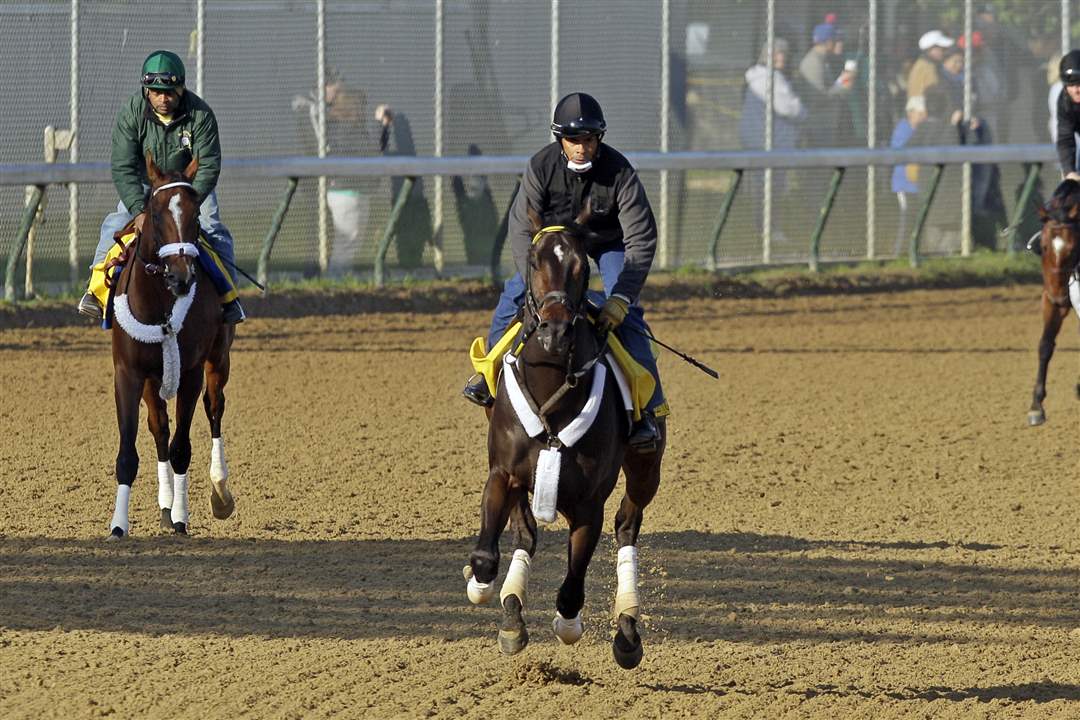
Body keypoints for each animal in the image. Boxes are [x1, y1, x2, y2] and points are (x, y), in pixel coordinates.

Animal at [107, 152, 236, 539]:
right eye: (156, 212)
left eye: (195, 215)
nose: (181, 276)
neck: (158, 303)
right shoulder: (129, 373)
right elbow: (130, 452)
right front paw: (119, 526)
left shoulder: (191, 370)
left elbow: (182, 447)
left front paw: (181, 518)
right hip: (154, 378)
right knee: (159, 427)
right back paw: (164, 505)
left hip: (218, 359)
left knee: (214, 408)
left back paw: (220, 492)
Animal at [463, 207, 665, 669]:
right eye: (534, 260)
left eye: (581, 265)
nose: (554, 332)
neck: (553, 391)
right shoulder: (503, 473)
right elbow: (487, 554)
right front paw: (484, 589)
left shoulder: (590, 502)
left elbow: (572, 586)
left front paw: (569, 626)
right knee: (525, 534)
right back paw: (511, 612)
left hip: (647, 469)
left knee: (627, 525)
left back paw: (627, 630)